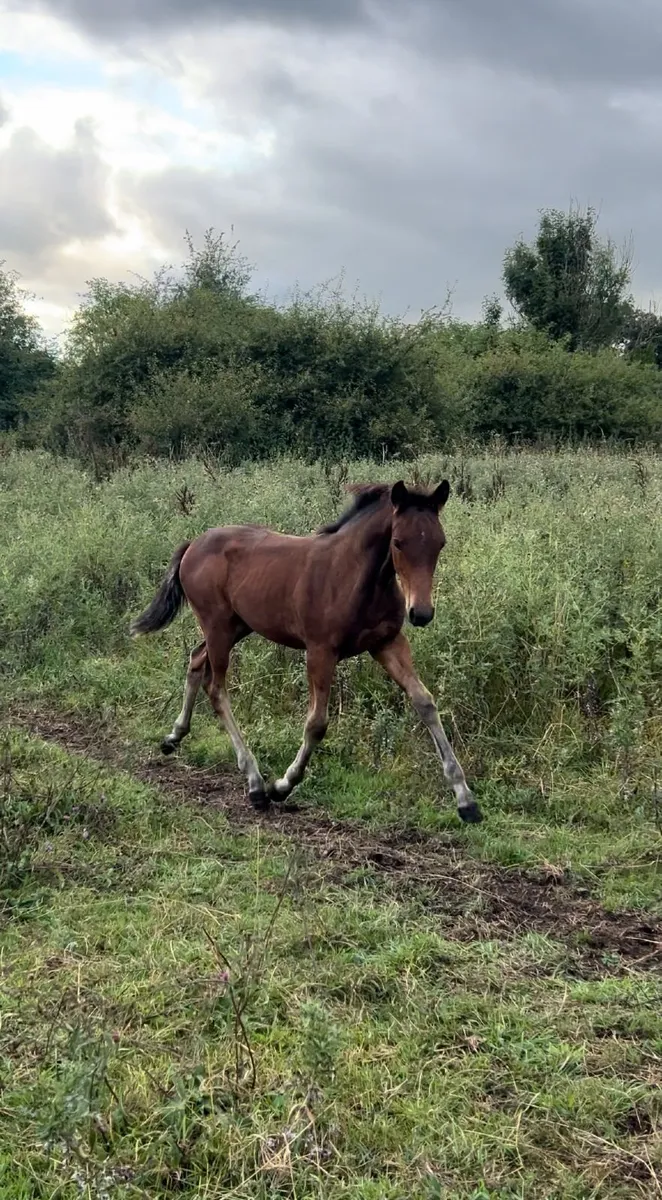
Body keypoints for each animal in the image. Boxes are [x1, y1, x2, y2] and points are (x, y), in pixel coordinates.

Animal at [129, 479, 483, 824]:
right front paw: (282, 786)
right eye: (397, 542)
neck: (354, 577)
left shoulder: (387, 643)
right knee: (216, 688)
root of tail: (193, 544)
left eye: (439, 543)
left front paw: (466, 800)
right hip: (217, 626)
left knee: (195, 660)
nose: (421, 613)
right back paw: (255, 783)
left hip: (236, 626)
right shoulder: (320, 651)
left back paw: (174, 737)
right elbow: (317, 723)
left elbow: (425, 702)